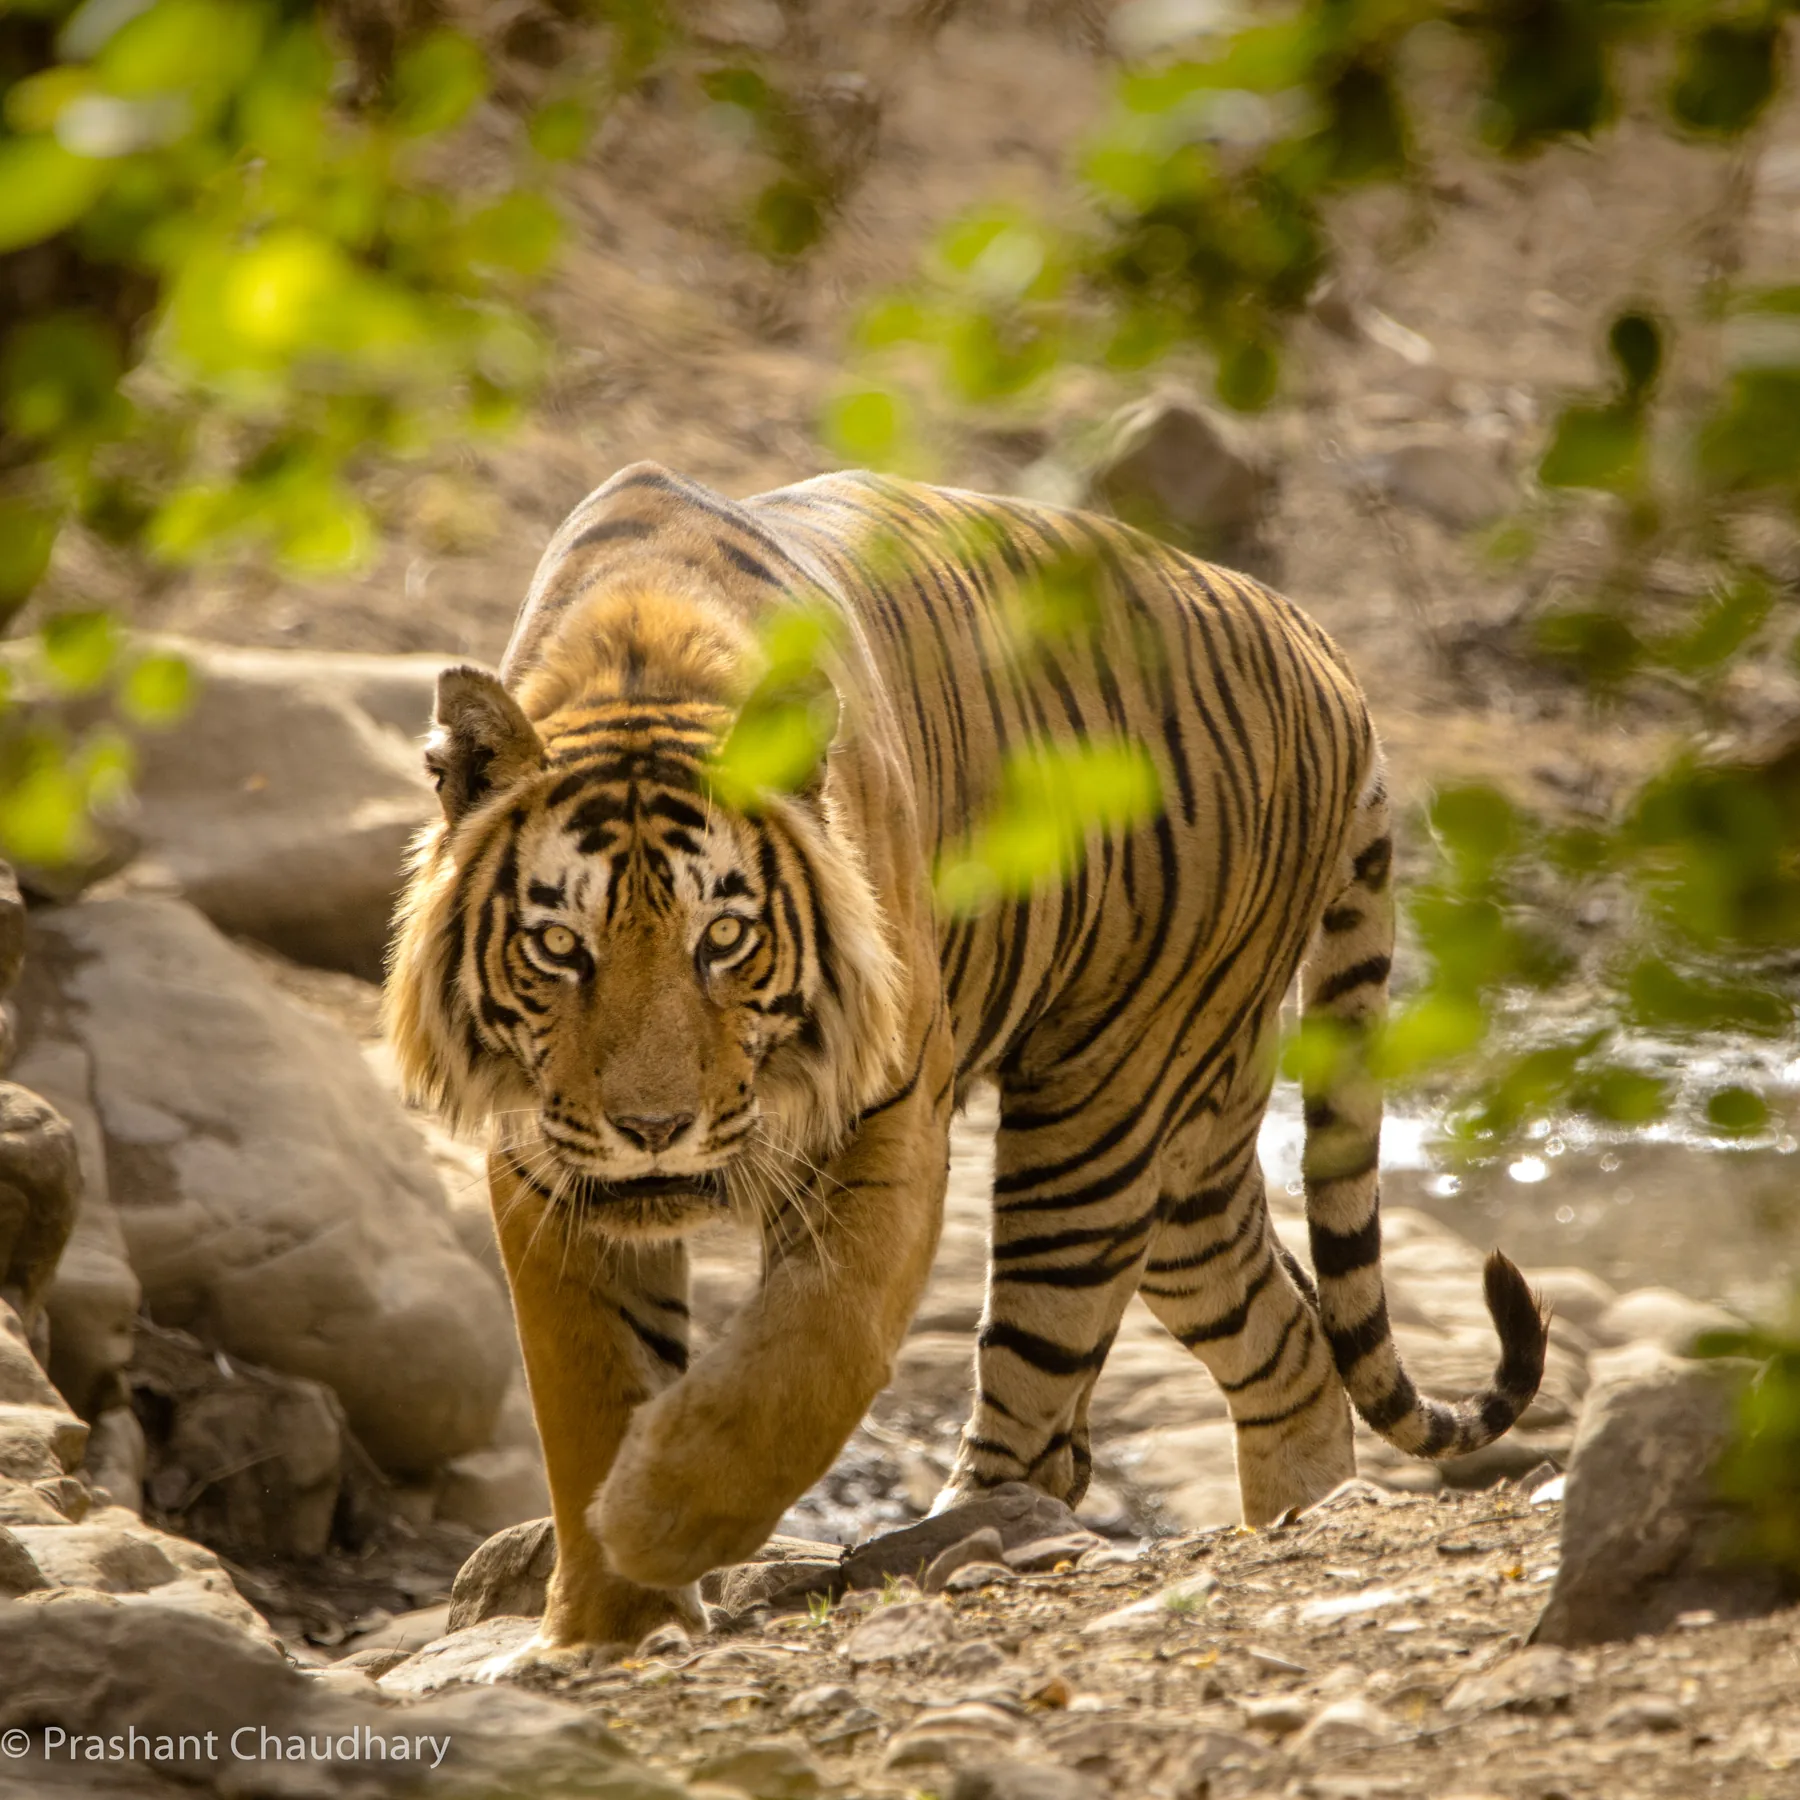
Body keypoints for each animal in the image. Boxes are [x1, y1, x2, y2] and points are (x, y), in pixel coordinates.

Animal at [385, 460, 1547, 1656]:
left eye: (726, 938)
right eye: (559, 947)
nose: (653, 1130)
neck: (640, 657)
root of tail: (1326, 651)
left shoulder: (890, 1111)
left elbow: (815, 1348)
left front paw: (660, 1519)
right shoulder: (542, 1160)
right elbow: (587, 1385)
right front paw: (612, 1616)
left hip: (1103, 1115)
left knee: (1040, 1404)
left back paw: (965, 1542)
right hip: (1192, 1168)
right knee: (1291, 1344)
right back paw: (1298, 1518)